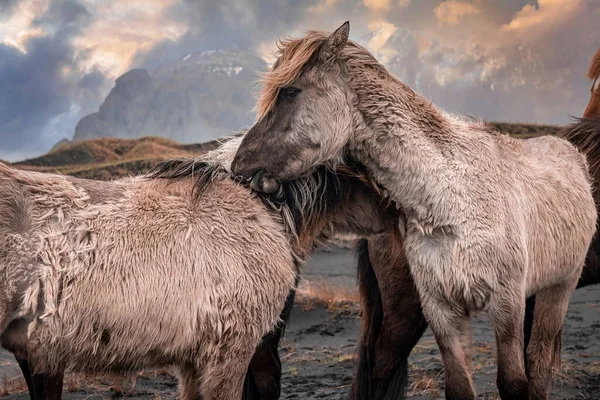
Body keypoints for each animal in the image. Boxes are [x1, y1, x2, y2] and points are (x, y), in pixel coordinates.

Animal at [229, 22, 596, 400]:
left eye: (290, 91)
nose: (239, 168)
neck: (451, 199)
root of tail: (571, 154)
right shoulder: (441, 310)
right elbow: (458, 387)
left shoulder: (506, 306)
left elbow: (513, 383)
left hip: (558, 290)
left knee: (539, 360)